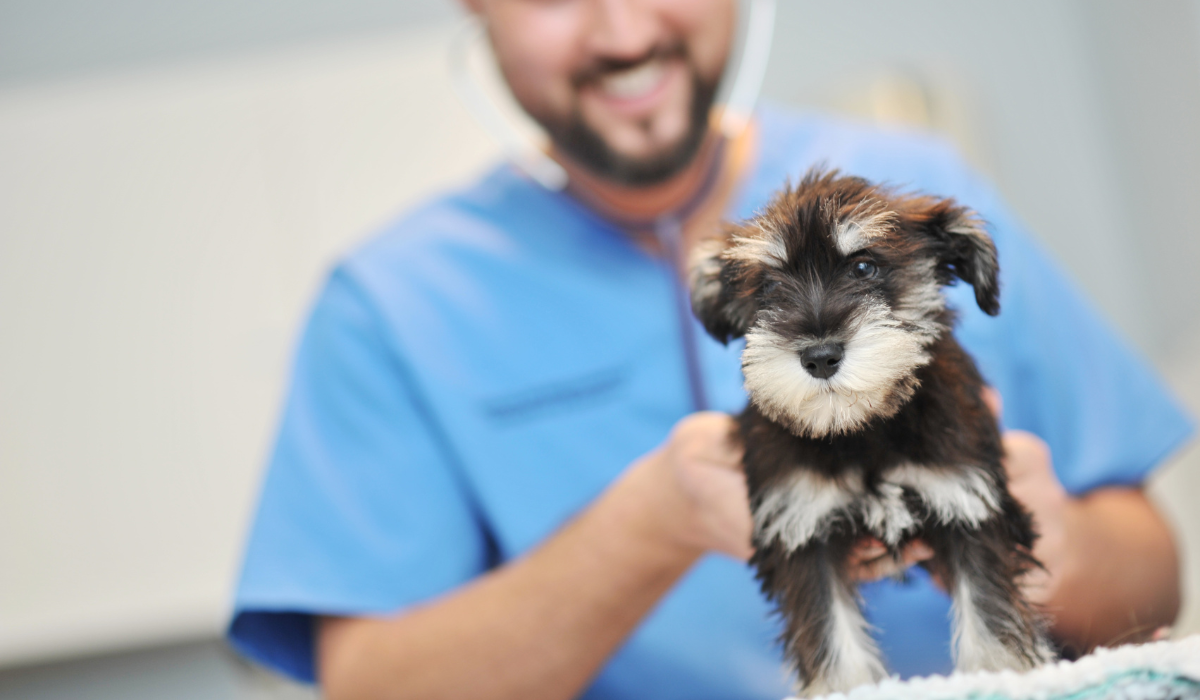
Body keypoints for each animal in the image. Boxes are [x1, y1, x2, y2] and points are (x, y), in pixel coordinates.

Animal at [696, 169, 1051, 696]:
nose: (820, 357)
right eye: (770, 285)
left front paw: (1000, 675)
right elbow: (829, 636)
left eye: (864, 267)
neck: (861, 429)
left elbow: (990, 612)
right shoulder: (802, 531)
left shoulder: (970, 504)